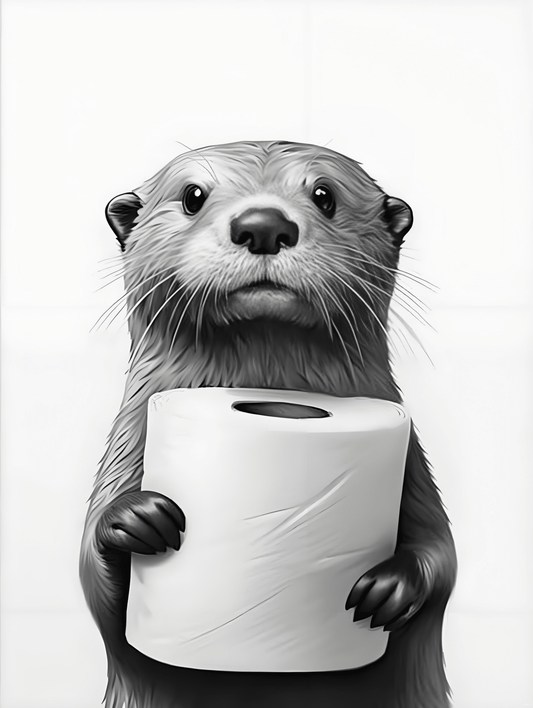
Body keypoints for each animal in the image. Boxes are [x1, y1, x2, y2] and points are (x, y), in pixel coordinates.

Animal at [80, 140, 457, 708]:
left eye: (325, 195)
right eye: (193, 195)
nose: (262, 224)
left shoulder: (412, 464)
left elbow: (443, 558)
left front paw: (391, 587)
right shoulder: (127, 450)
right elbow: (97, 587)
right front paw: (134, 519)